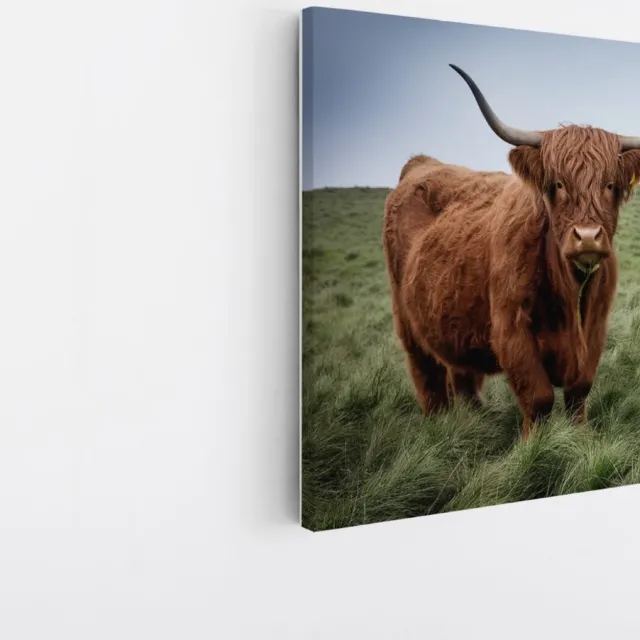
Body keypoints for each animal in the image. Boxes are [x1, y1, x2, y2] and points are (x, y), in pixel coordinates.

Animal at [383, 63, 640, 439]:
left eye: (610, 185)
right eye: (558, 184)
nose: (589, 237)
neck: (569, 289)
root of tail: (422, 162)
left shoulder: (595, 328)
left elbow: (578, 392)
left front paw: (581, 438)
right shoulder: (511, 329)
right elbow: (539, 397)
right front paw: (532, 444)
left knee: (462, 376)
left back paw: (473, 419)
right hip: (407, 321)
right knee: (428, 377)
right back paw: (436, 426)